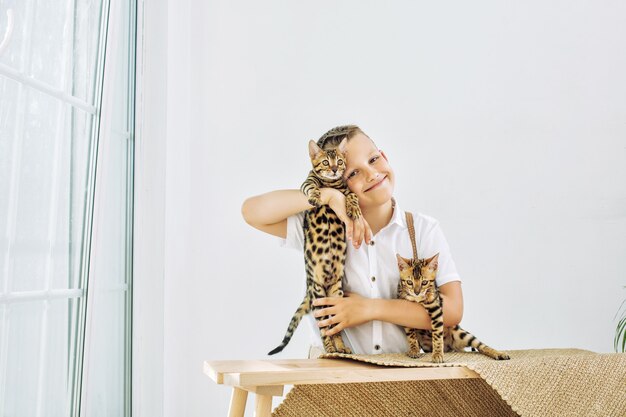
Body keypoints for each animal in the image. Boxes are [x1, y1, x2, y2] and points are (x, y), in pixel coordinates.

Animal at [266, 137, 358, 354]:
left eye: (339, 161)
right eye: (325, 162)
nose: (334, 169)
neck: (332, 183)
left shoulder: (347, 189)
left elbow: (351, 195)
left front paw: (353, 208)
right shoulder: (307, 181)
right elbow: (312, 186)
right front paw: (317, 196)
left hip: (335, 294)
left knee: (334, 327)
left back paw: (340, 348)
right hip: (318, 294)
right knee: (324, 329)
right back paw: (331, 349)